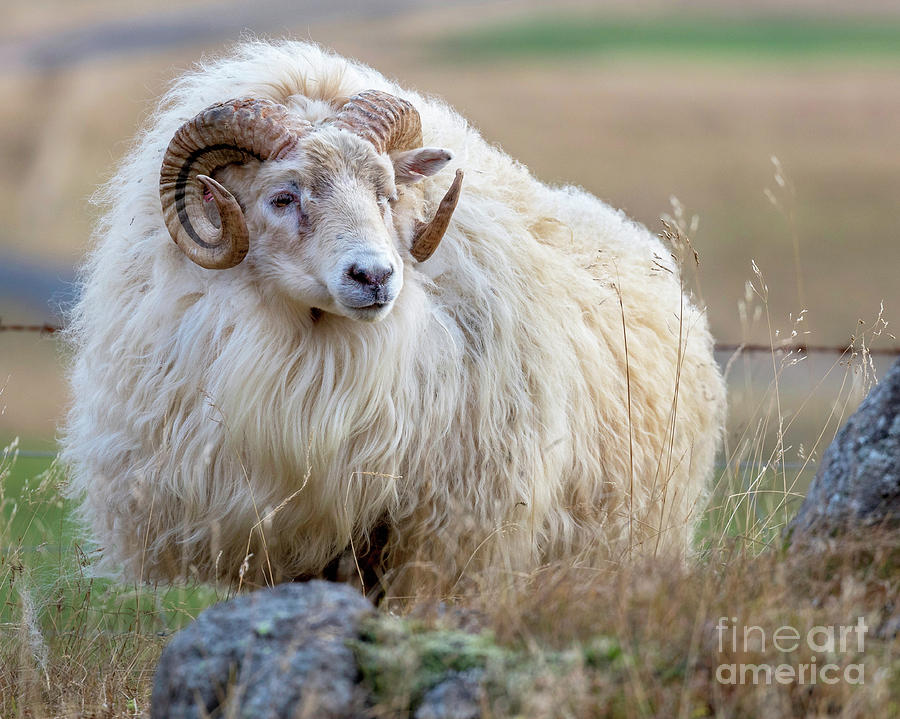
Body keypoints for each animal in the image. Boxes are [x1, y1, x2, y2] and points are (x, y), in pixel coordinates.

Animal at [62, 40, 726, 596]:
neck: (315, 361)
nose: (375, 276)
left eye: (386, 195)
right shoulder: (281, 538)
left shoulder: (436, 536)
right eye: (283, 196)